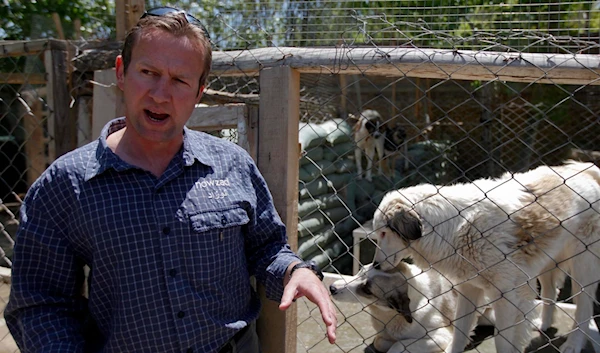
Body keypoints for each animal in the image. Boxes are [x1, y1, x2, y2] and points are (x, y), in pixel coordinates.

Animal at [330, 260, 466, 350]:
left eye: (367, 291)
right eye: (360, 271)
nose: (332, 288)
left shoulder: (442, 336)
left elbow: (398, 345)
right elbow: (378, 342)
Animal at [370, 160, 600, 352]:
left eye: (383, 233)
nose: (376, 265)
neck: (452, 229)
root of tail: (585, 170)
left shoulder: (507, 295)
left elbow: (502, 340)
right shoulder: (468, 289)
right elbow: (460, 332)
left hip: (583, 267)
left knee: (584, 308)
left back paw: (573, 344)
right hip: (546, 262)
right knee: (551, 291)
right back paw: (543, 325)